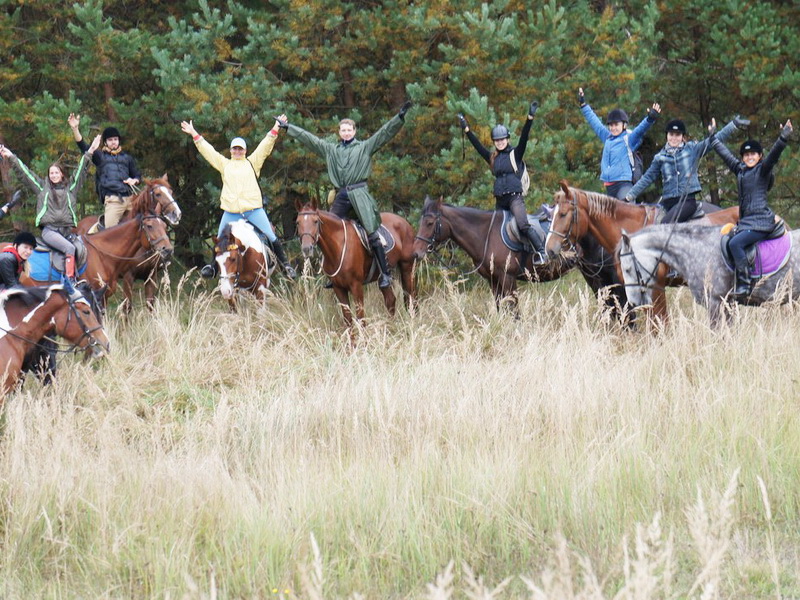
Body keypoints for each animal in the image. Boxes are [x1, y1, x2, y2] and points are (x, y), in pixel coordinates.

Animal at [75, 173, 181, 312]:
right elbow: (127, 307)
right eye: (158, 194)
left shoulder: (151, 277)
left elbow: (150, 305)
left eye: (171, 191)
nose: (177, 214)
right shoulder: (128, 277)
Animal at [296, 198, 418, 328]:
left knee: (410, 297)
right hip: (382, 278)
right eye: (298, 223)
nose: (306, 249)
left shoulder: (356, 286)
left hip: (407, 268)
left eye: (315, 221)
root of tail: (404, 222)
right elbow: (348, 320)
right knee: (390, 300)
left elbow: (361, 319)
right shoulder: (338, 288)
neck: (338, 247)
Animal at [412, 196, 624, 318]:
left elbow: (514, 310)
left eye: (429, 223)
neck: (486, 234)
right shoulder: (493, 281)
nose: (416, 252)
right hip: (591, 273)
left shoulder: (507, 278)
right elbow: (502, 308)